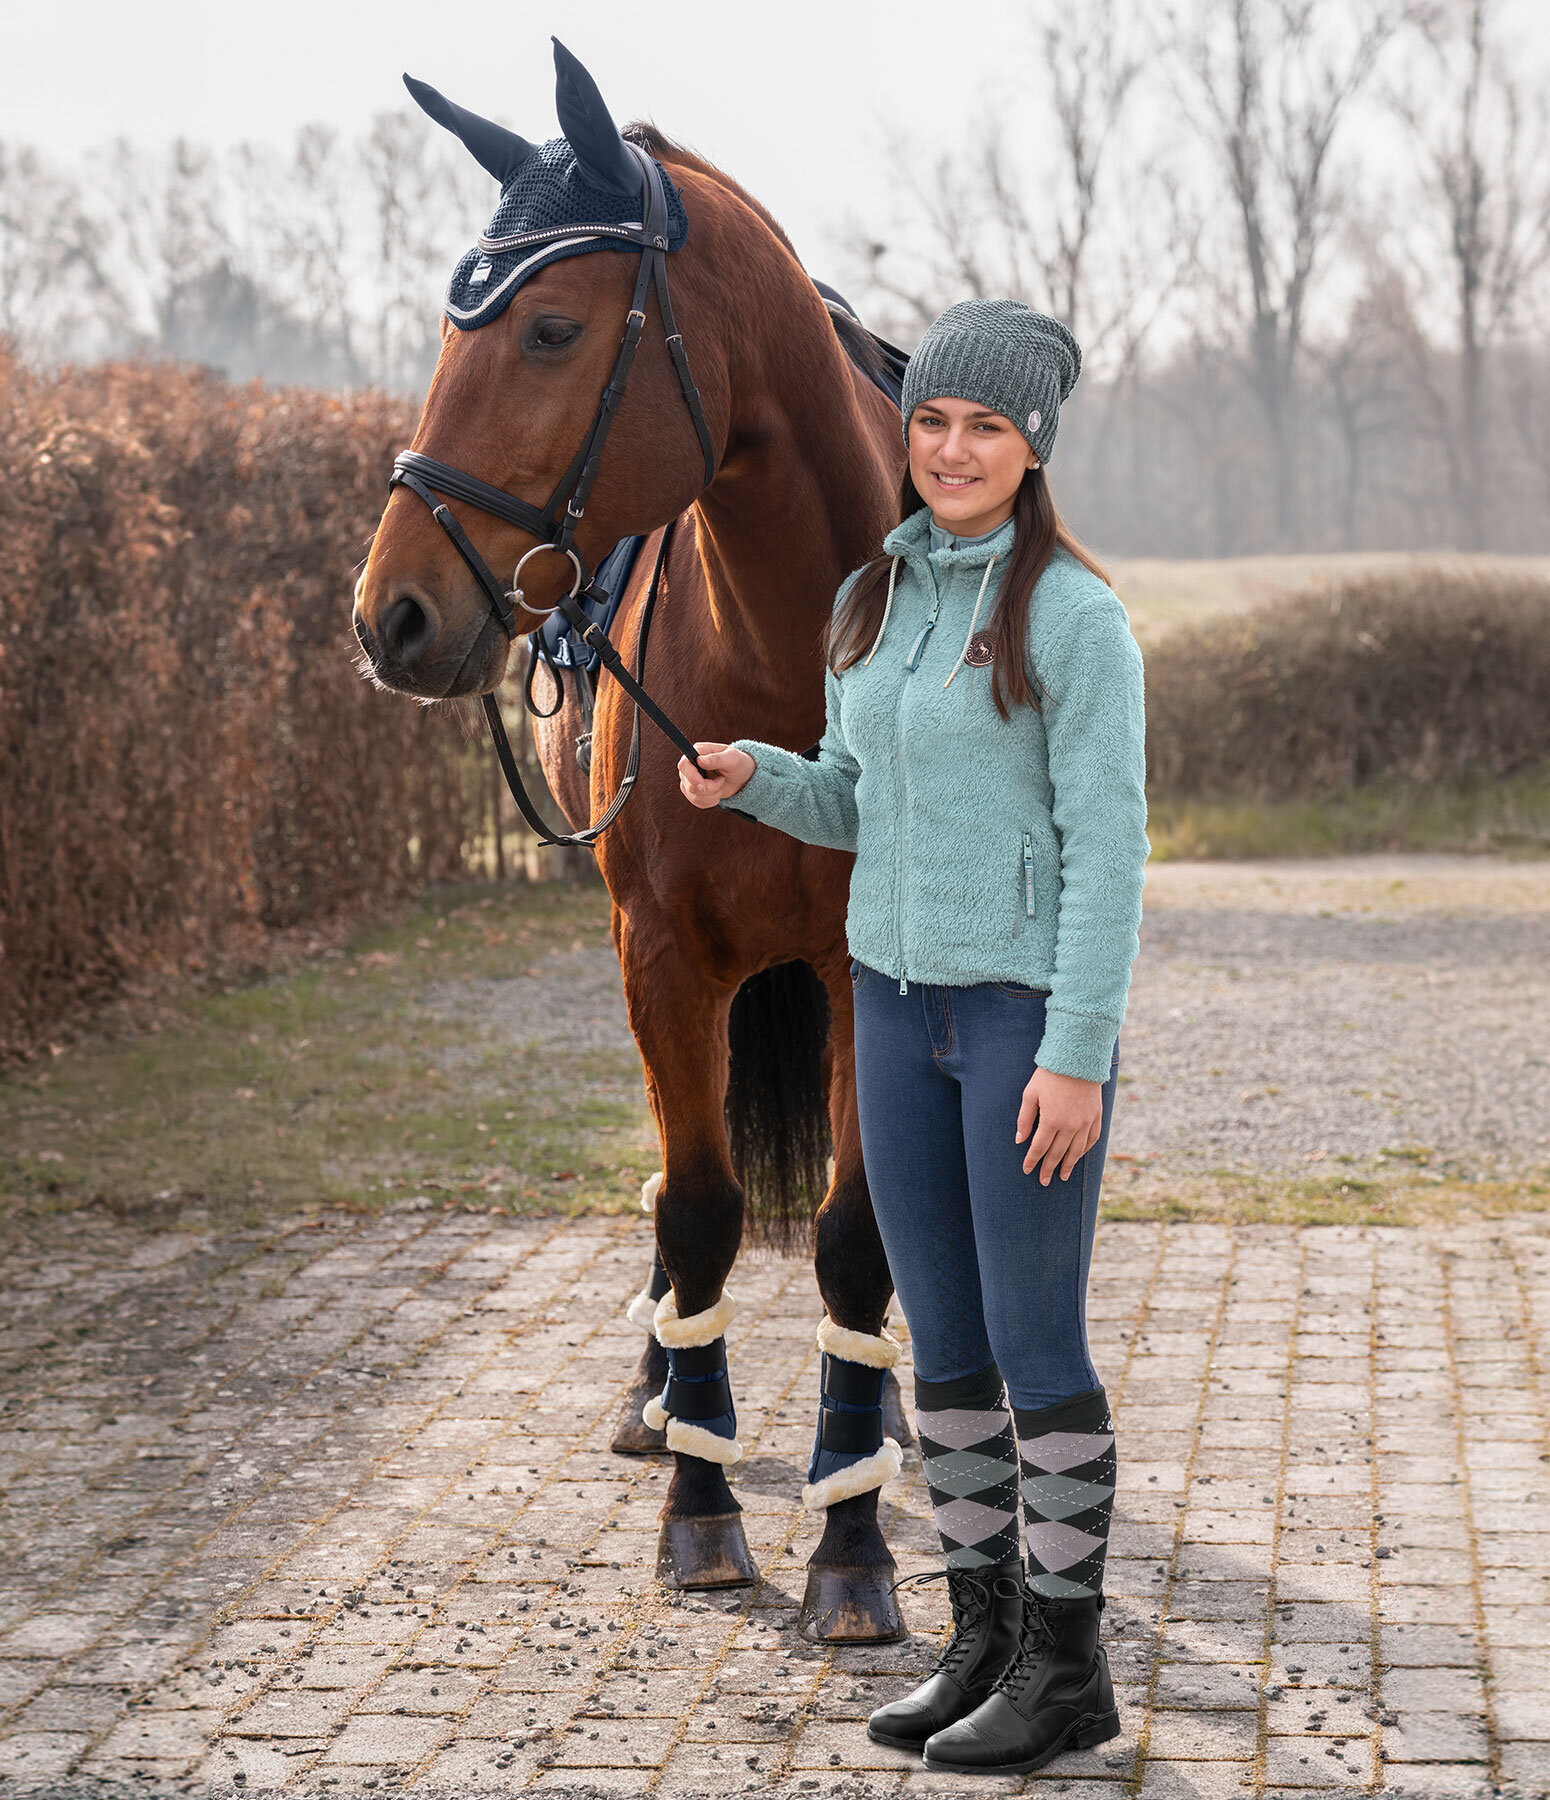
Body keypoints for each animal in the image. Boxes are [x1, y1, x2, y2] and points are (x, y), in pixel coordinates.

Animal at [351, 45, 907, 1648]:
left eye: (549, 328)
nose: (390, 610)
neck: (788, 657)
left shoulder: (867, 973)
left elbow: (854, 1234)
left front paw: (854, 1542)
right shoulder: (660, 960)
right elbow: (701, 1208)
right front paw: (703, 1508)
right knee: (676, 1188)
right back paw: (663, 1389)